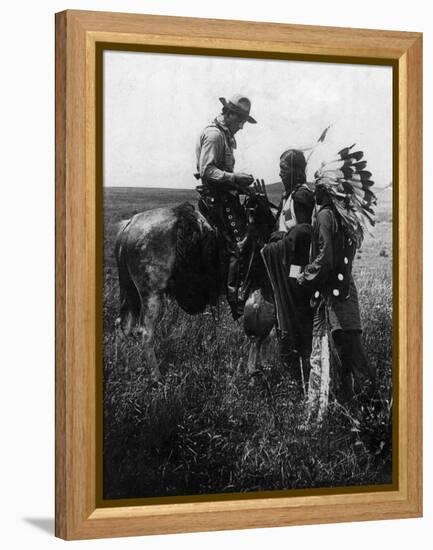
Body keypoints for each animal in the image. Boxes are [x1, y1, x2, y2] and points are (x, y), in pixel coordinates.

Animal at [113, 189, 276, 380]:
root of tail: (129, 224)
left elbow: (264, 334)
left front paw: (262, 365)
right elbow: (262, 334)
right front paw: (256, 369)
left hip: (131, 292)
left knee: (122, 326)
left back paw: (123, 366)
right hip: (151, 294)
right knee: (145, 332)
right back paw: (156, 377)